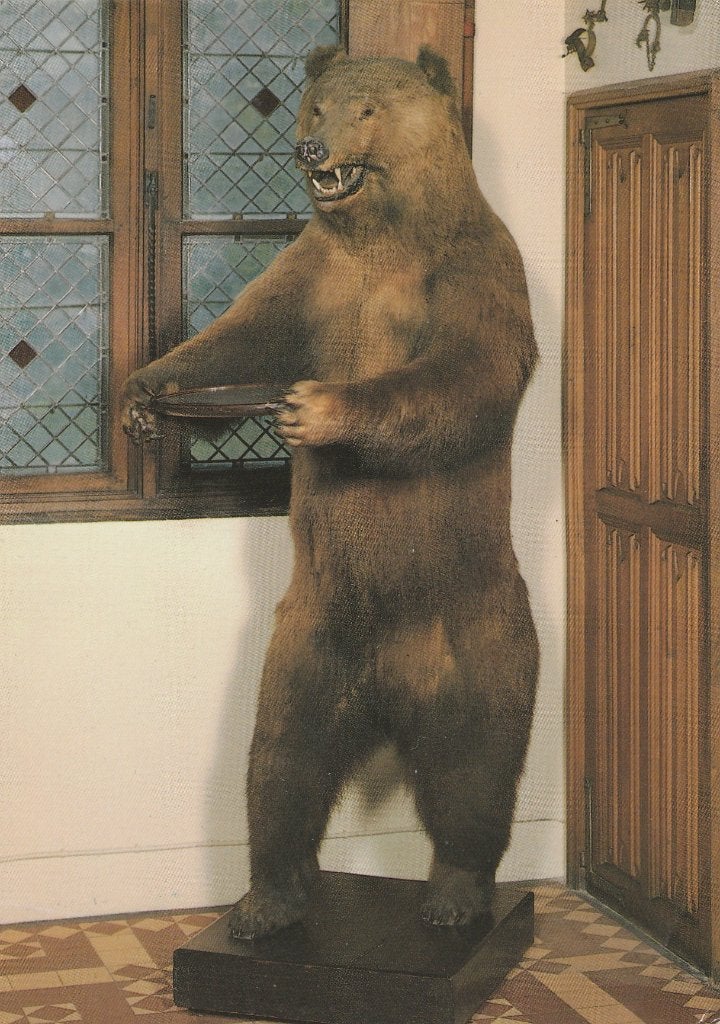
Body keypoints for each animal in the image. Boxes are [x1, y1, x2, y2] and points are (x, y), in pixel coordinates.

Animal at [122, 45, 539, 940]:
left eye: (369, 108)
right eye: (316, 103)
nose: (311, 147)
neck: (383, 237)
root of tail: (385, 700)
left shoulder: (477, 271)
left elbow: (463, 376)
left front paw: (317, 409)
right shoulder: (312, 275)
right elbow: (239, 335)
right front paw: (142, 394)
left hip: (475, 634)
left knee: (475, 766)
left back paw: (456, 896)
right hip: (309, 639)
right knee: (283, 760)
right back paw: (266, 900)